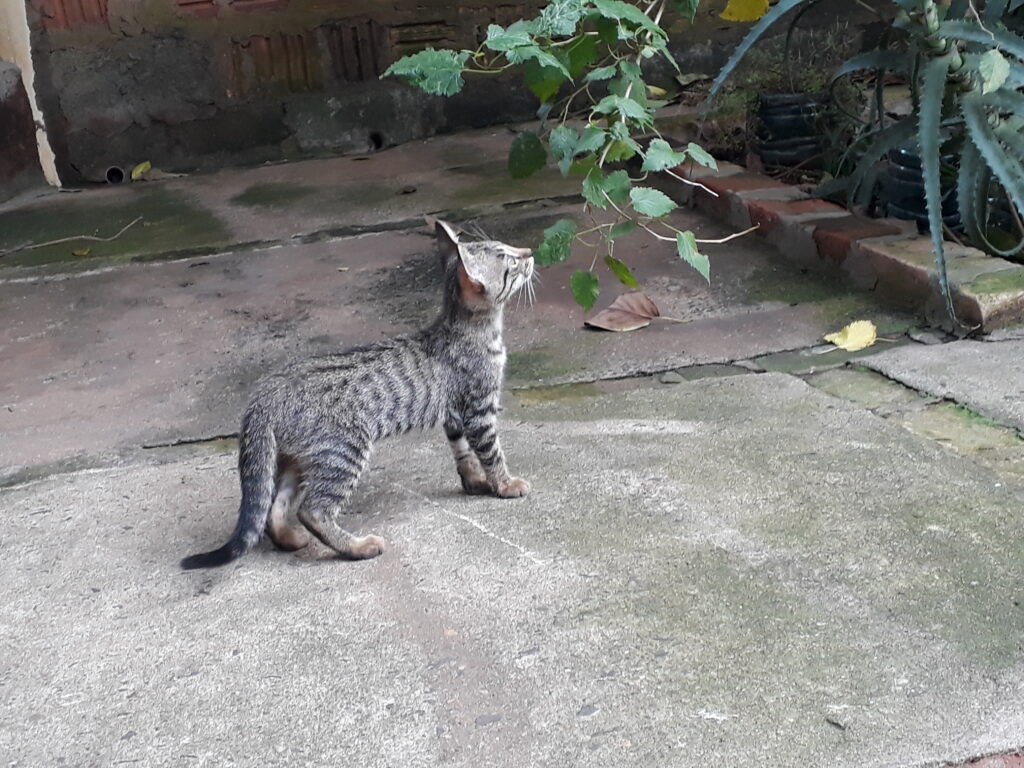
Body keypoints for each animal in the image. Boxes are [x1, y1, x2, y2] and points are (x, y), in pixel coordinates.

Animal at [182, 219, 536, 569]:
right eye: (510, 261)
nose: (529, 252)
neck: (471, 329)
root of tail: (267, 389)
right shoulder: (478, 409)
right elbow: (491, 452)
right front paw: (505, 484)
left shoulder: (454, 413)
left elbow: (462, 452)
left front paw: (475, 481)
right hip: (344, 449)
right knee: (312, 510)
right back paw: (357, 546)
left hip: (300, 458)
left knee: (274, 507)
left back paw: (290, 539)